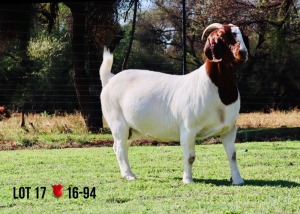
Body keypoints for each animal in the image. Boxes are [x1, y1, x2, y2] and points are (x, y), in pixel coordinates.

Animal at [100, 23, 248, 184]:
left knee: (122, 146)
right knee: (119, 147)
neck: (216, 87)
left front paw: (238, 180)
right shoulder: (188, 129)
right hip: (117, 121)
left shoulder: (229, 129)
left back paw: (125, 173)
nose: (242, 52)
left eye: (243, 35)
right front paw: (188, 180)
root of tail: (110, 79)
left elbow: (232, 155)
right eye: (222, 36)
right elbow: (190, 157)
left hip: (132, 129)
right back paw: (129, 175)